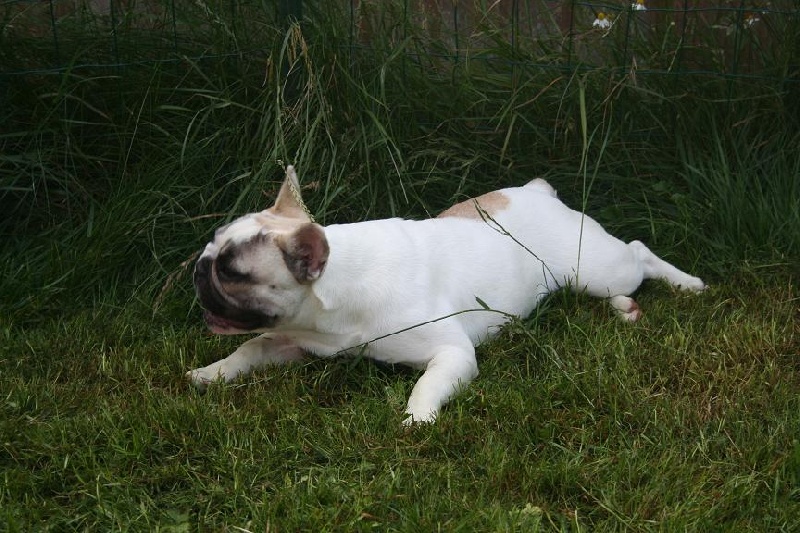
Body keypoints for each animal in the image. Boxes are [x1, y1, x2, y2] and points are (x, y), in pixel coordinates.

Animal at [186, 164, 700, 422]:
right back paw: (625, 309)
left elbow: (427, 383)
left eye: (232, 272)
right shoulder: (290, 339)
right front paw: (212, 373)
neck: (338, 288)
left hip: (595, 267)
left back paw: (687, 284)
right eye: (213, 246)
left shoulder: (452, 354)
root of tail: (539, 192)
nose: (199, 267)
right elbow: (250, 349)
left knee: (638, 254)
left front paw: (418, 417)